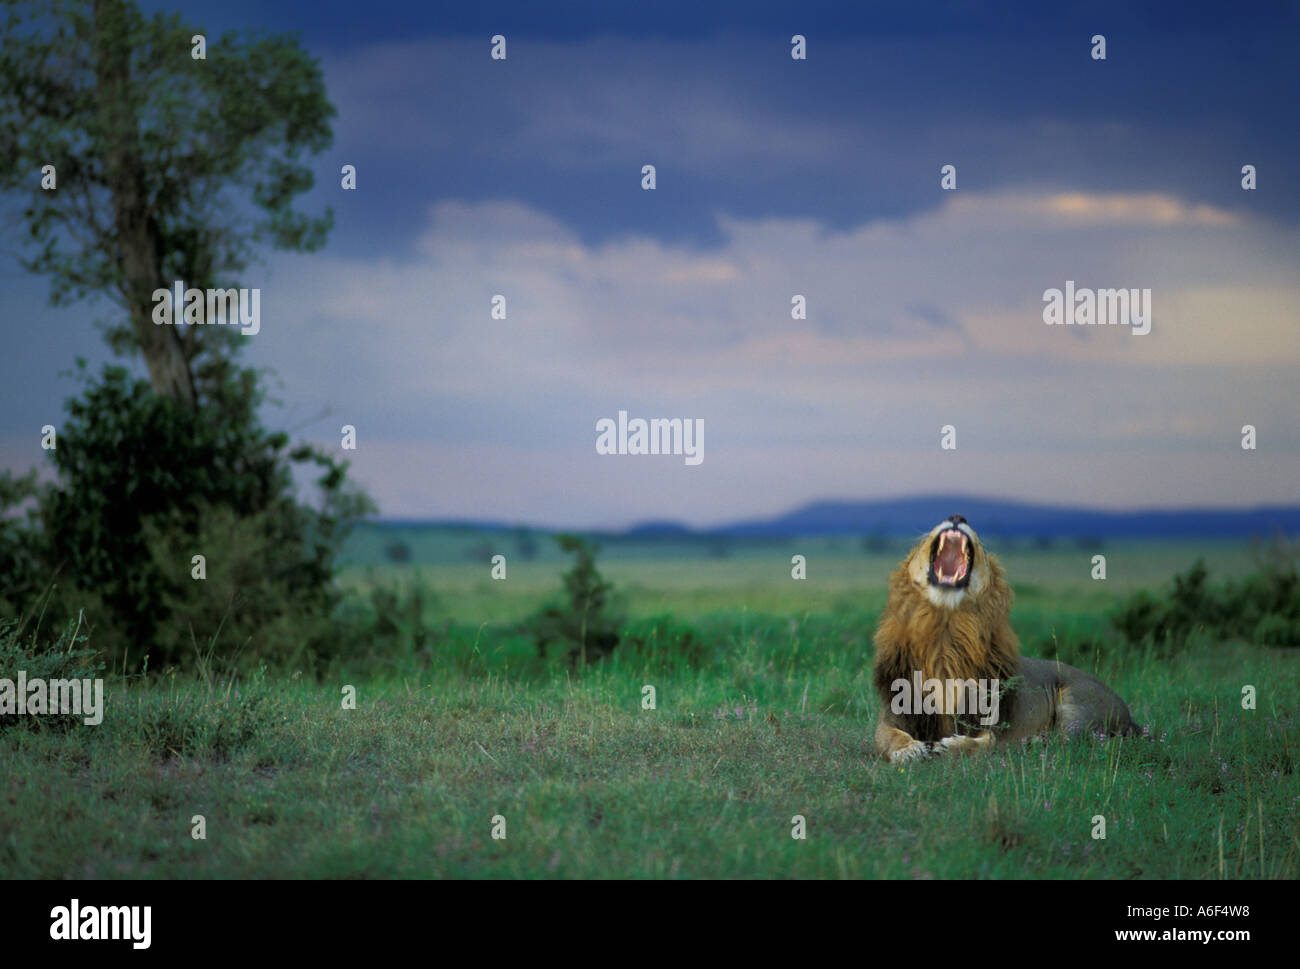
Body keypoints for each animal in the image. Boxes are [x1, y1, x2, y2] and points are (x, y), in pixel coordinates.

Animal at [873, 515, 1138, 764]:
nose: (957, 516)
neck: (945, 637)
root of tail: (1129, 715)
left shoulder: (994, 719)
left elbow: (988, 741)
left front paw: (950, 746)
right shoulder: (896, 710)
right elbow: (887, 735)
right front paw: (907, 750)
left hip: (1077, 701)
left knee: (1066, 741)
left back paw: (1033, 740)